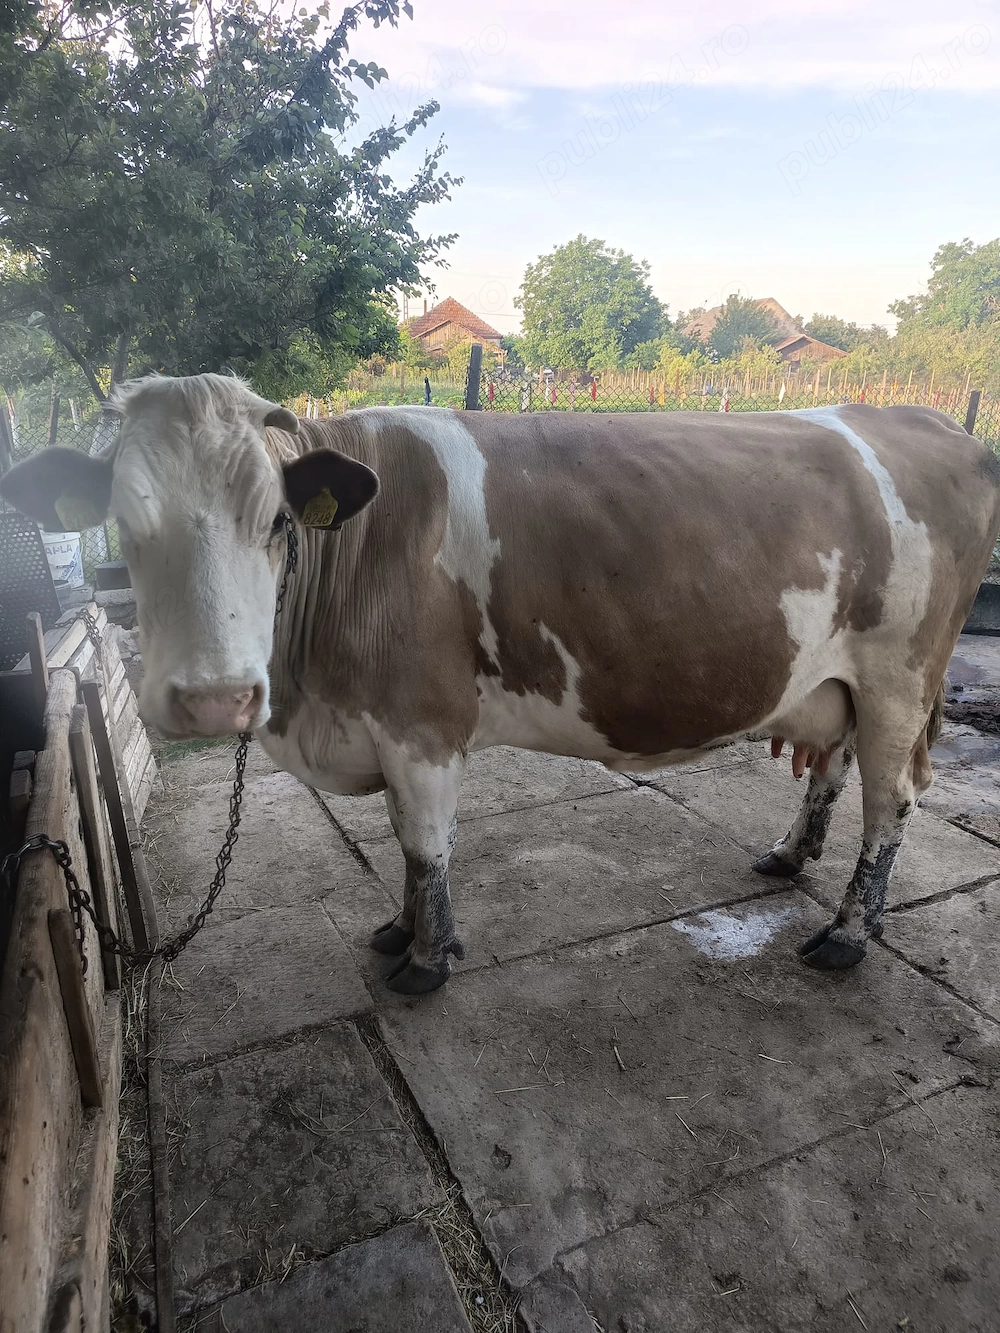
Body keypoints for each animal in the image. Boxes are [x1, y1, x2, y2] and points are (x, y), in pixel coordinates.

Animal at [4, 374, 998, 994]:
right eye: (124, 527)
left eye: (278, 521)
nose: (215, 698)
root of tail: (932, 422)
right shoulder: (386, 726)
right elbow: (406, 846)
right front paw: (399, 930)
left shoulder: (422, 724)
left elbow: (425, 844)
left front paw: (426, 958)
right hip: (837, 680)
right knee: (834, 762)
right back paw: (791, 855)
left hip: (902, 677)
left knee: (891, 801)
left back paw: (848, 934)